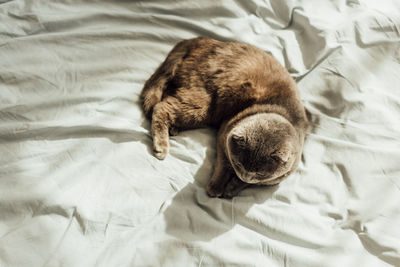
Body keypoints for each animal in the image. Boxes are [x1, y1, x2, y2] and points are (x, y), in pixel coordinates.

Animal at [141, 36, 310, 198]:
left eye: (259, 173)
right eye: (239, 164)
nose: (244, 175)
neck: (280, 111)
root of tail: (202, 40)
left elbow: (248, 184)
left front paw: (232, 188)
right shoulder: (223, 138)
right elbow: (222, 166)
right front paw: (216, 187)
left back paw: (174, 128)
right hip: (203, 102)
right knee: (161, 107)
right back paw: (161, 146)